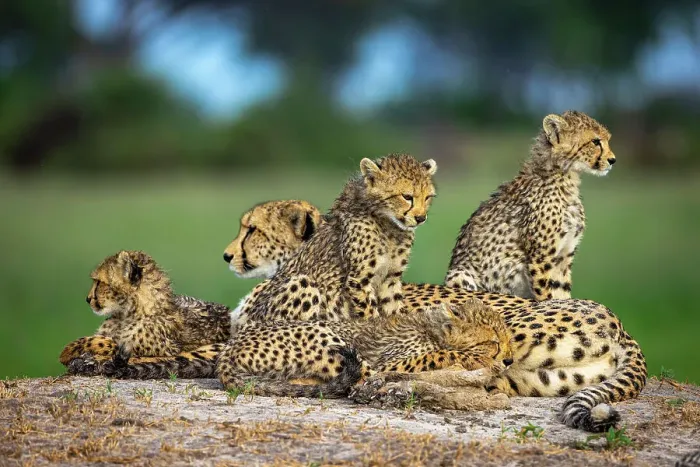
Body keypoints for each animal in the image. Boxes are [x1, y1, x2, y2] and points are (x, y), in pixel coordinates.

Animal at [59, 250, 231, 376]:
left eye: (100, 282)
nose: (88, 299)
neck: (126, 314)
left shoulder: (165, 349)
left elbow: (113, 345)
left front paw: (76, 354)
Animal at [445, 110, 616, 301]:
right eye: (595, 141)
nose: (613, 160)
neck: (565, 177)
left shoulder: (563, 256)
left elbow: (561, 293)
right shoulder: (540, 257)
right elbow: (546, 295)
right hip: (459, 274)